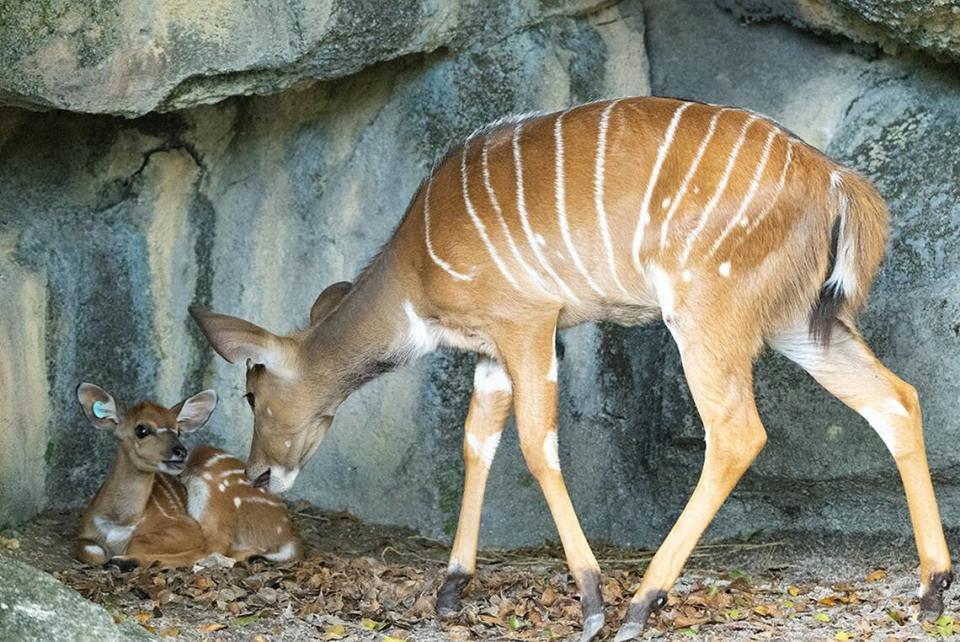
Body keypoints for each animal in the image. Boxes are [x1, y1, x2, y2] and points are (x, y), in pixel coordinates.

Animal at [189, 94, 952, 636]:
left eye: (252, 393)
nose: (259, 473)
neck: (412, 277)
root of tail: (837, 180)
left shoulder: (529, 322)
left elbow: (537, 444)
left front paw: (589, 602)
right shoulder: (492, 351)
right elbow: (476, 444)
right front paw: (451, 588)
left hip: (706, 308)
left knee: (738, 432)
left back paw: (643, 603)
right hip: (802, 321)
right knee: (896, 399)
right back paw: (932, 589)